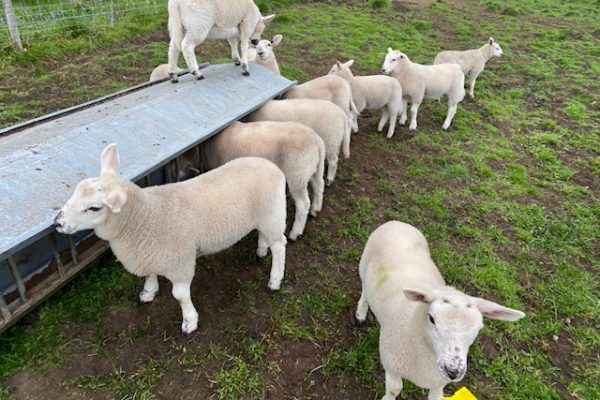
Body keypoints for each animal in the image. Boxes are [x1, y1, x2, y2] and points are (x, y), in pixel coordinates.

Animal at [55, 144, 288, 334]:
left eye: (94, 208)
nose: (57, 222)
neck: (146, 216)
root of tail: (270, 165)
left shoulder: (180, 263)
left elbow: (180, 295)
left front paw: (189, 321)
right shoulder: (149, 252)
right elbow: (149, 275)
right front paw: (148, 292)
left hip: (273, 214)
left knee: (279, 245)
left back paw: (274, 279)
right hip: (263, 216)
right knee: (264, 235)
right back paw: (261, 249)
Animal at [356, 222, 524, 400]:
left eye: (479, 328)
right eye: (431, 319)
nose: (453, 371)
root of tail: (397, 223)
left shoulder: (439, 381)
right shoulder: (391, 364)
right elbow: (394, 389)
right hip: (364, 265)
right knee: (365, 288)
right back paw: (361, 312)